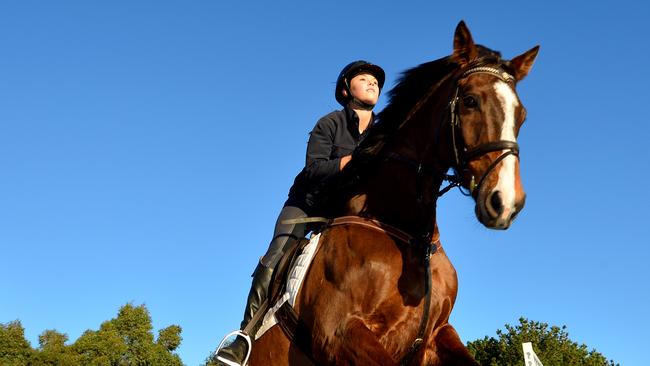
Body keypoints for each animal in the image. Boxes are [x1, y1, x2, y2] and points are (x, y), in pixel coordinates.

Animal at [246, 21, 536, 364]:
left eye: (522, 115)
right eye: (470, 101)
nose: (506, 203)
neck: (409, 234)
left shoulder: (437, 334)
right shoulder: (337, 333)